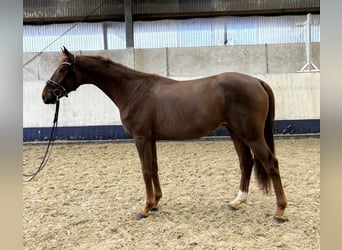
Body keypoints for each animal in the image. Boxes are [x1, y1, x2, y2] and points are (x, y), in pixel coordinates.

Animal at [42, 47, 288, 223]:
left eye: (62, 69)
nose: (46, 96)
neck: (134, 90)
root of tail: (257, 81)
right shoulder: (150, 138)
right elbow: (154, 168)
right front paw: (156, 203)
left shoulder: (141, 138)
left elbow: (145, 170)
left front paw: (145, 208)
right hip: (236, 133)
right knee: (246, 163)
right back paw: (237, 201)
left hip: (252, 135)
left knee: (271, 163)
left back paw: (279, 211)